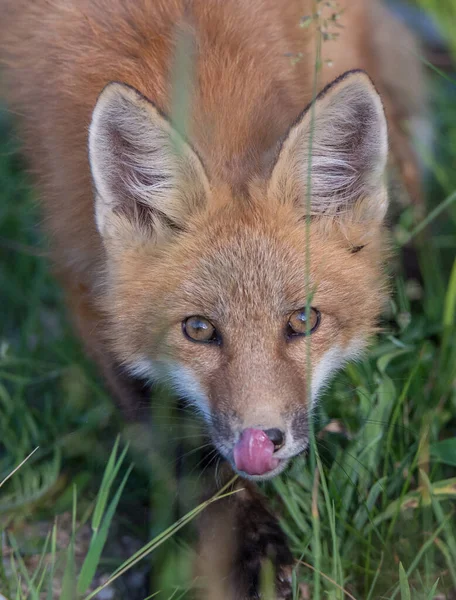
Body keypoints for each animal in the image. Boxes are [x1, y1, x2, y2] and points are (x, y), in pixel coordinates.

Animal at [0, 0, 428, 596]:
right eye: (199, 329)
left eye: (303, 320)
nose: (262, 439)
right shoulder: (86, 283)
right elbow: (182, 450)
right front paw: (252, 551)